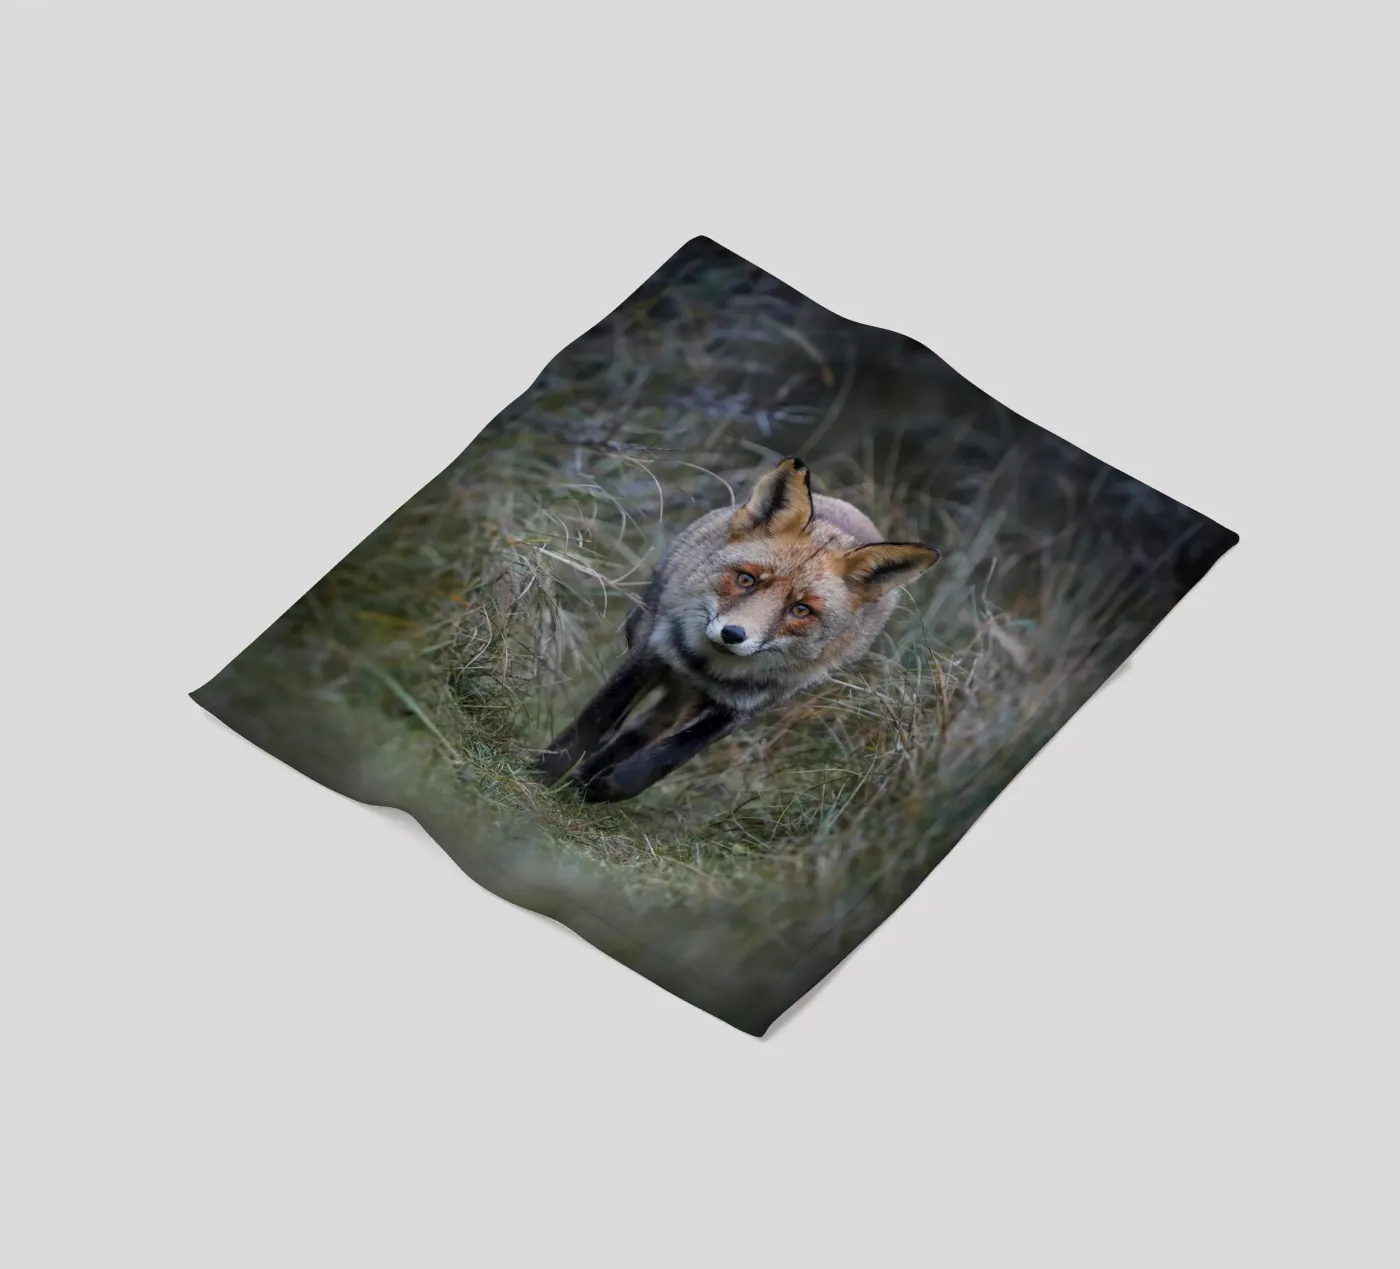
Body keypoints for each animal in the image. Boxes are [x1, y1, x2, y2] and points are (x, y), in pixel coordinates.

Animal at [538, 456, 940, 802]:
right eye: (746, 579)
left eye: (801, 609)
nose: (733, 635)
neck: (706, 668)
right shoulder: (651, 653)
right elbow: (595, 720)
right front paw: (543, 773)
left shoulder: (743, 706)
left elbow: (670, 756)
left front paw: (608, 785)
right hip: (648, 639)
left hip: (688, 701)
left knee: (645, 730)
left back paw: (590, 776)